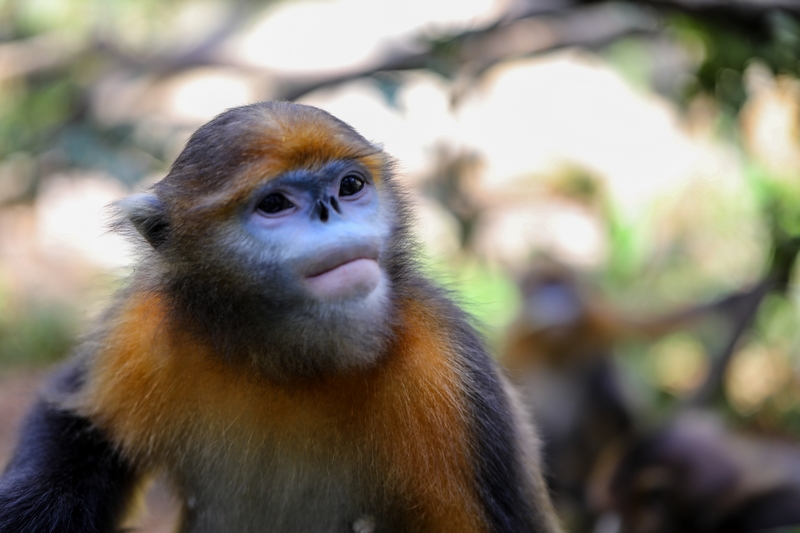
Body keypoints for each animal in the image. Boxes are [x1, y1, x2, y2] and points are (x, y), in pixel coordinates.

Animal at [0, 101, 564, 532]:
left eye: (350, 186)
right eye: (275, 203)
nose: (332, 212)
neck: (286, 359)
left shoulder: (446, 365)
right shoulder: (142, 325)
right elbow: (73, 426)